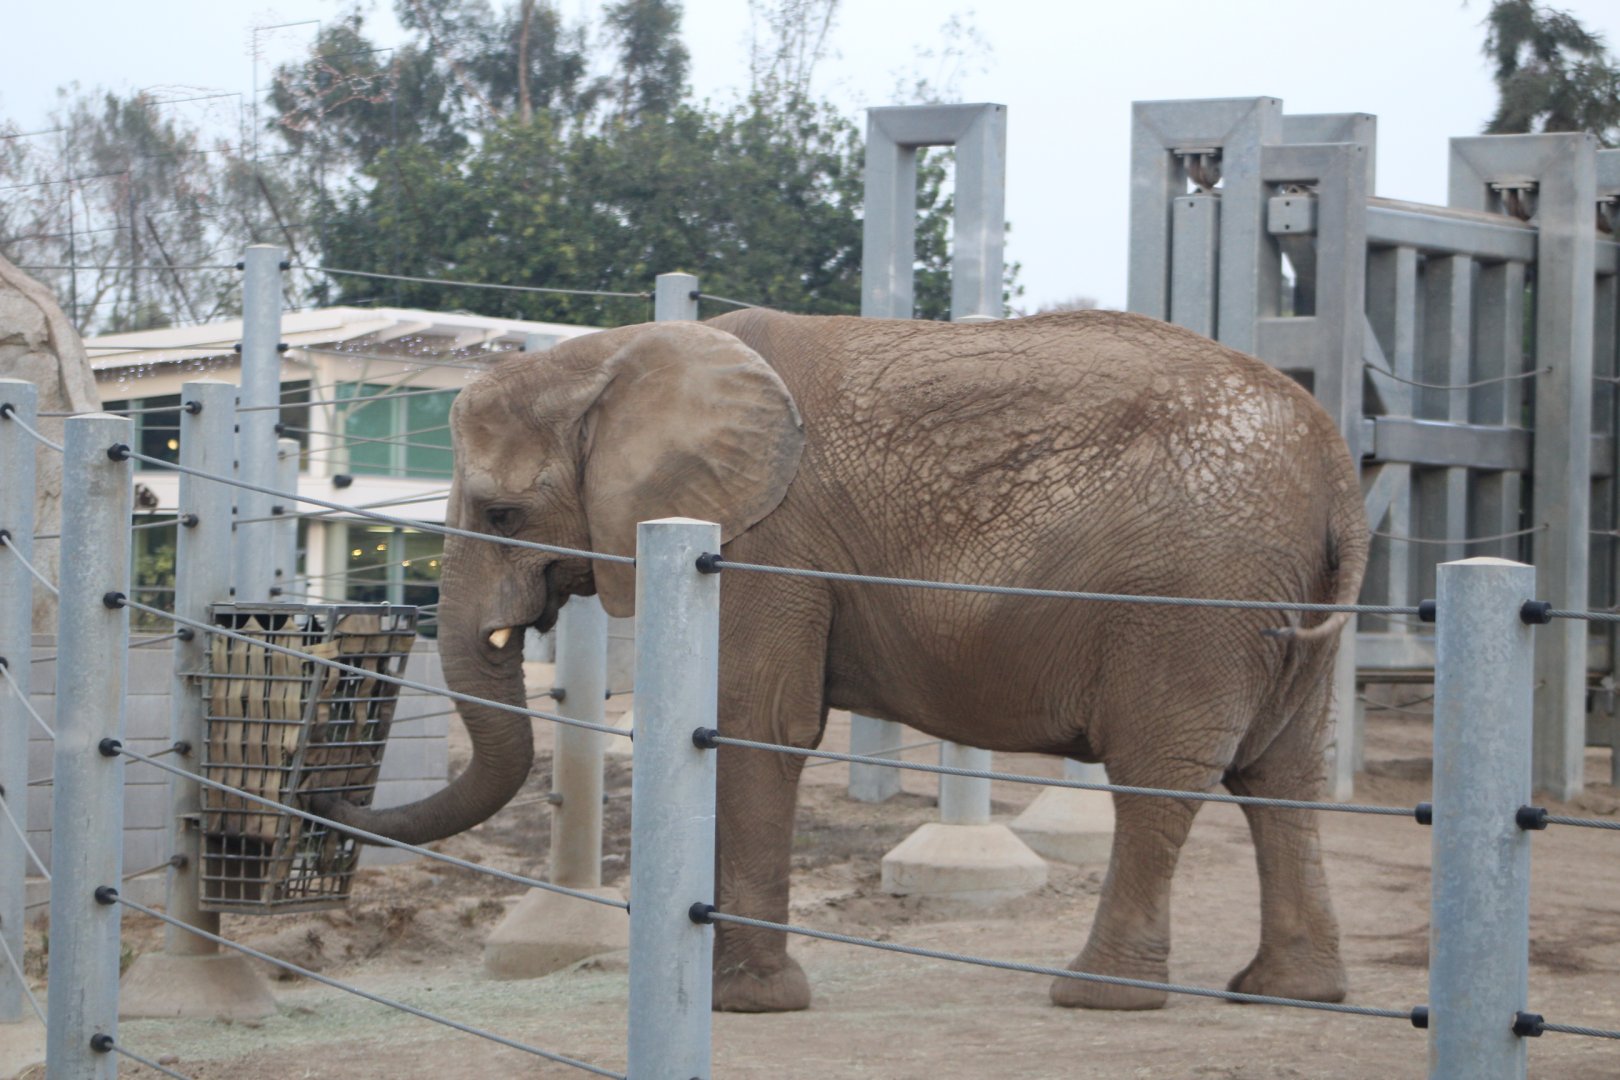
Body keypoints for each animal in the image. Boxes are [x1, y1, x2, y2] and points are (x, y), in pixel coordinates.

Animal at [313, 308, 1368, 1013]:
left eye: (501, 514)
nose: (325, 798)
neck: (618, 353)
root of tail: (1337, 467)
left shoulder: (763, 542)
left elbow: (755, 727)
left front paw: (745, 1004)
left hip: (1190, 599)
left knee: (1162, 775)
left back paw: (1097, 996)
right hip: (1279, 608)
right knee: (1282, 777)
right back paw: (1286, 992)